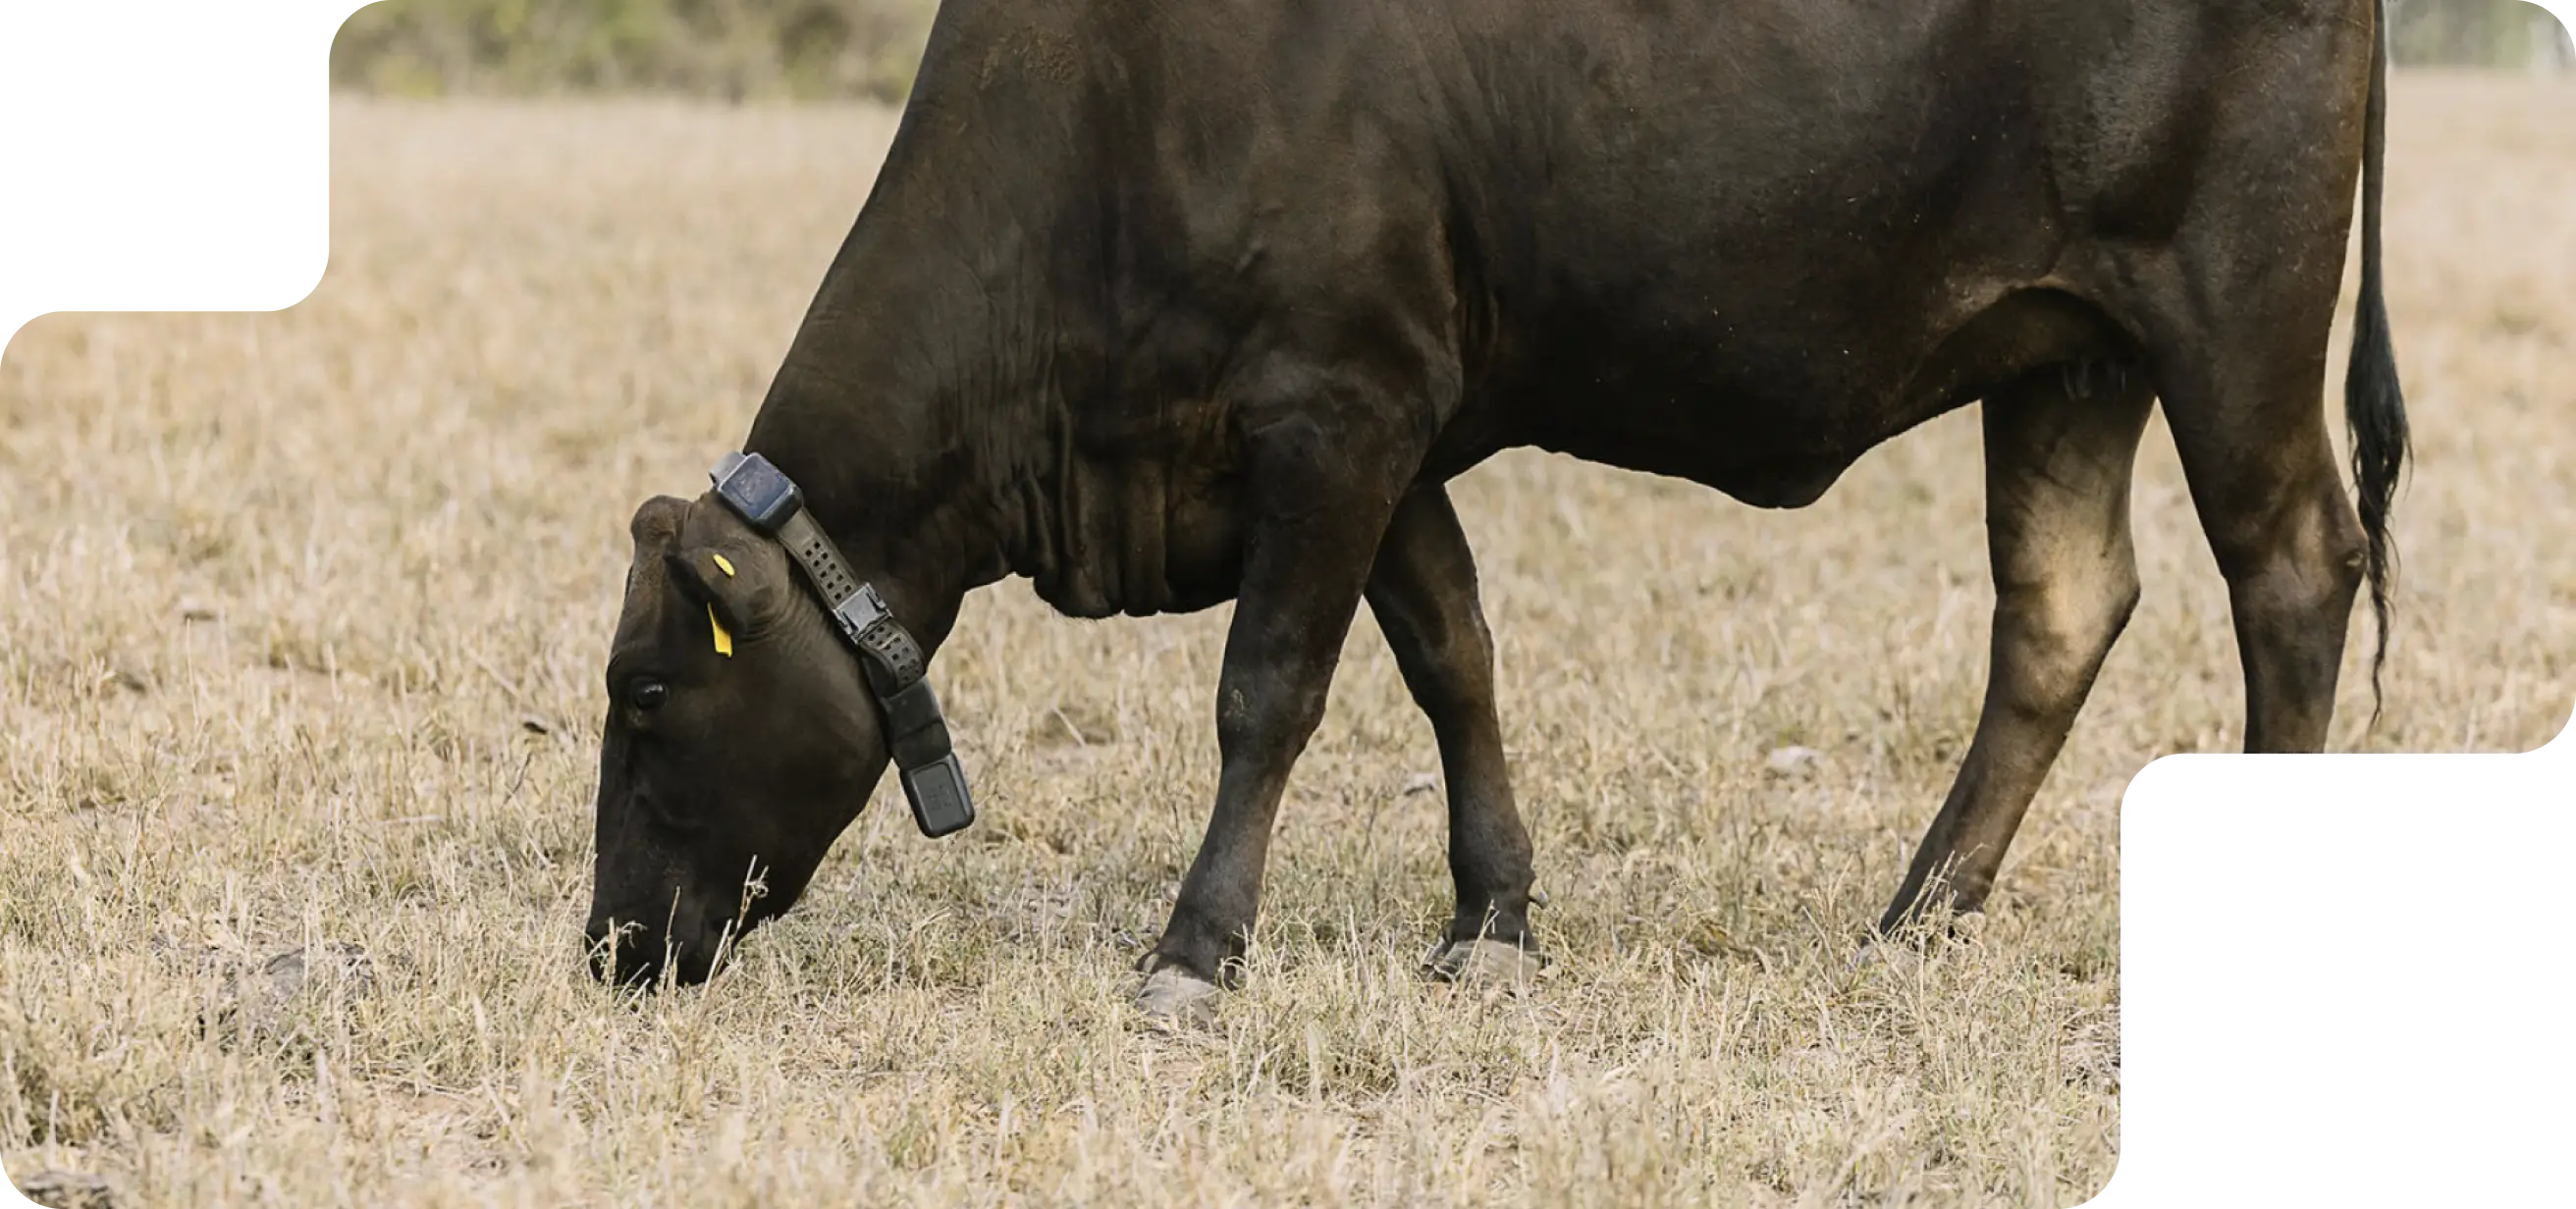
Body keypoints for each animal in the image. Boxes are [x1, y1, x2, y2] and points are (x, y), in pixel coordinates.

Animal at [585, 0, 2408, 1020]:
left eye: (648, 691)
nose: (608, 943)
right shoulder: (1388, 430)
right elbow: (1450, 659)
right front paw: (1493, 917)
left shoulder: (1338, 403)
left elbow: (1267, 692)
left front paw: (1194, 949)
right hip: (2066, 355)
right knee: (2060, 610)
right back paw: (1910, 923)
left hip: (2232, 315)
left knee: (2291, 575)